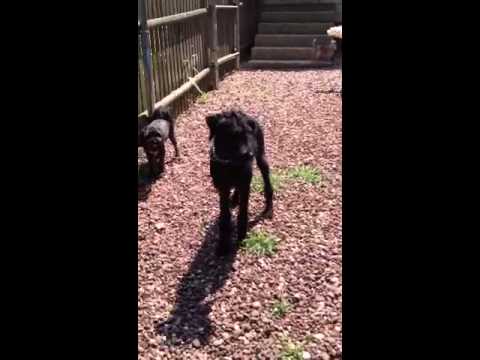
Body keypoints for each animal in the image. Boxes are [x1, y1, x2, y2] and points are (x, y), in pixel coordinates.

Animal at [206, 109, 274, 256]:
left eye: (248, 133)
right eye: (231, 135)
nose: (249, 154)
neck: (229, 163)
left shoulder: (245, 184)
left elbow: (243, 212)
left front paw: (242, 236)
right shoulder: (222, 187)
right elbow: (225, 215)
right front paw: (223, 245)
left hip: (262, 157)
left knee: (267, 182)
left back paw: (269, 208)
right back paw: (235, 199)